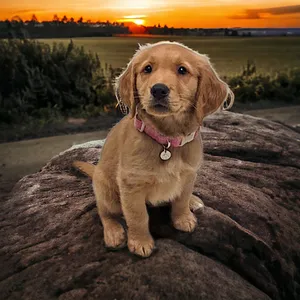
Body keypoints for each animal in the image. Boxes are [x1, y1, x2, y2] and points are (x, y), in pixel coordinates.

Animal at [73, 41, 234, 258]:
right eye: (147, 69)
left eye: (182, 70)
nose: (158, 90)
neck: (167, 140)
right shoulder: (131, 185)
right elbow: (138, 216)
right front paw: (140, 242)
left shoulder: (189, 174)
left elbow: (181, 199)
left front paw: (183, 217)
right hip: (106, 191)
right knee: (104, 212)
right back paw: (113, 232)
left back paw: (194, 201)